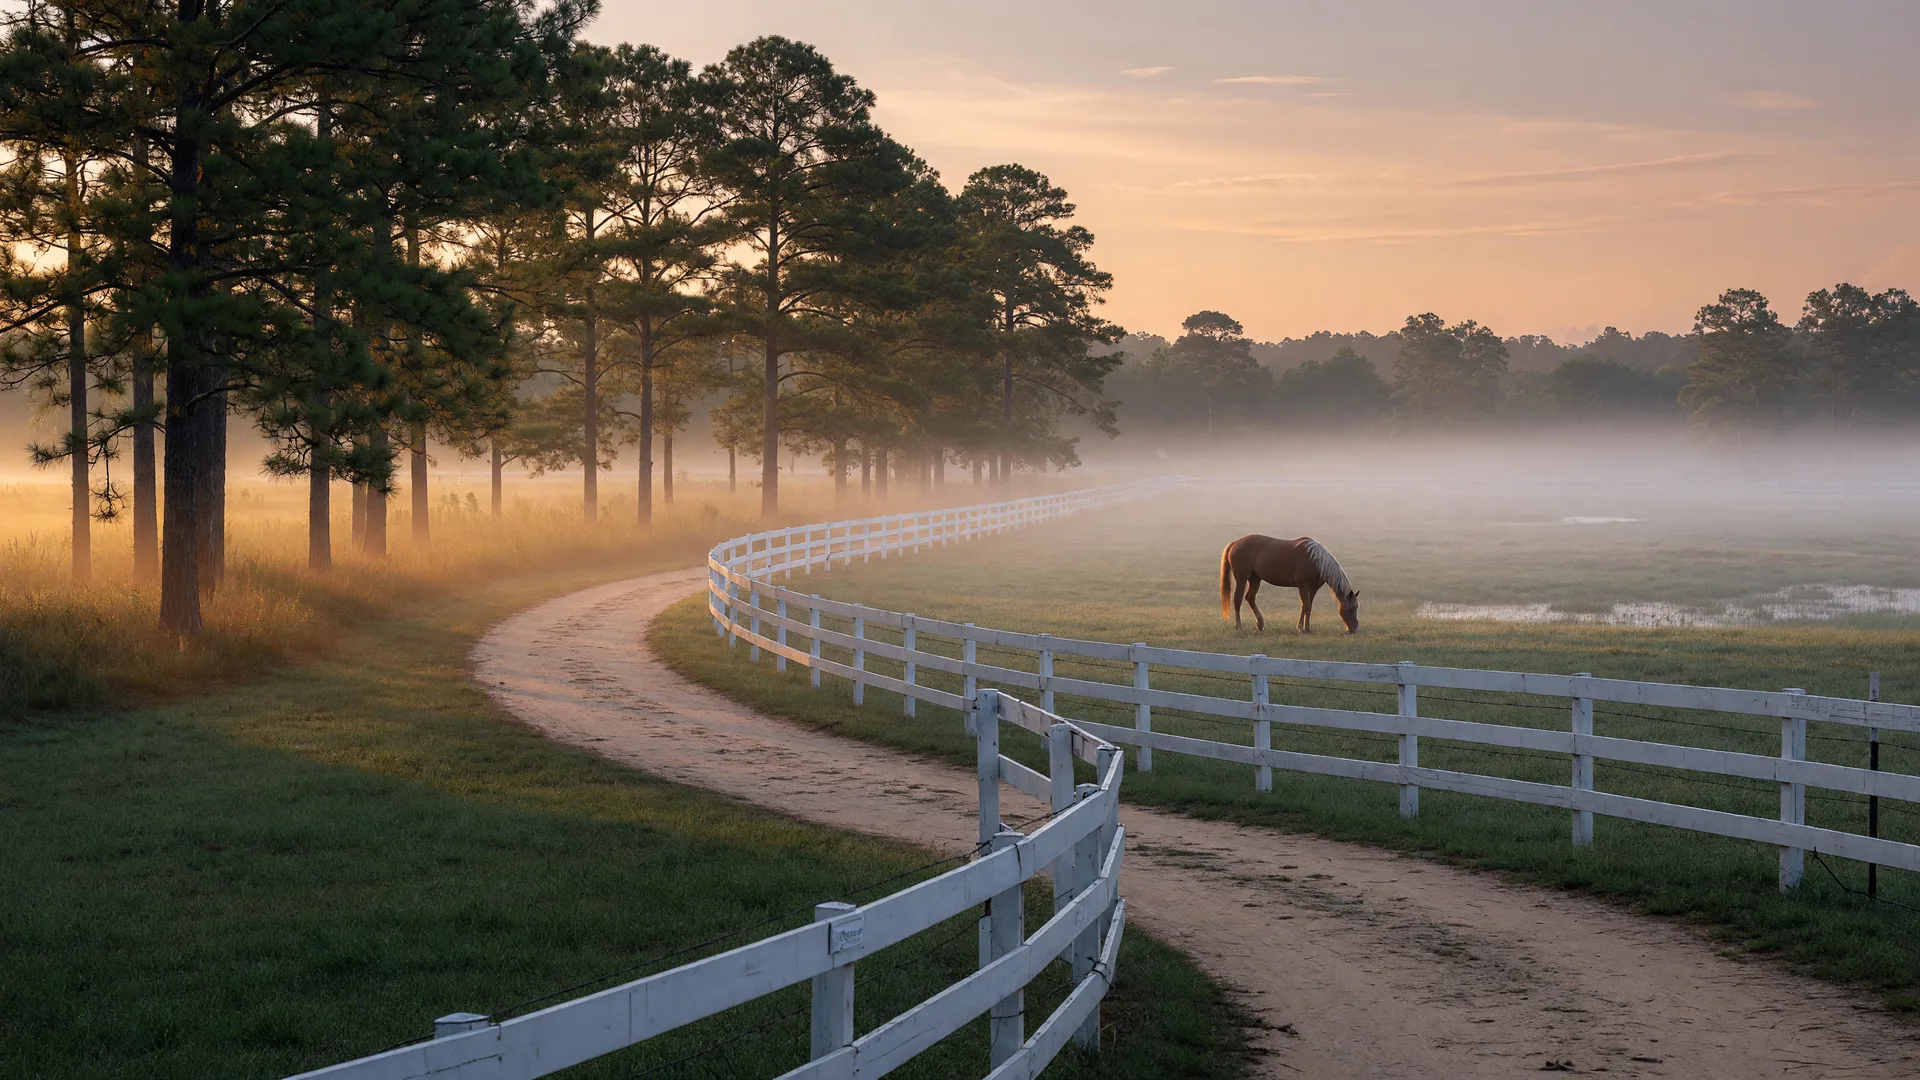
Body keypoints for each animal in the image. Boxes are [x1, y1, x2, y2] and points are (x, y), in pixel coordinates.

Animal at [1219, 535, 1359, 633]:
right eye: (1351, 608)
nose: (1354, 629)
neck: (1316, 560)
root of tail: (1234, 543)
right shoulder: (1303, 586)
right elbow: (1306, 606)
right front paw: (1304, 628)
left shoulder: (1313, 588)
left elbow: (1306, 606)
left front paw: (1303, 627)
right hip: (1242, 579)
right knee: (1237, 600)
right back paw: (1239, 626)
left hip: (1255, 580)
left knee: (1250, 598)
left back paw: (1260, 624)